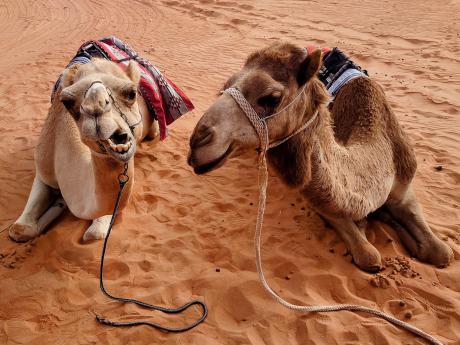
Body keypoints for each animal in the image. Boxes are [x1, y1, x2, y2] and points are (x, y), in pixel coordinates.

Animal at [8, 58, 160, 242]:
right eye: (67, 101)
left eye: (131, 93)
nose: (96, 106)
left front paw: (61, 204)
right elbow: (19, 229)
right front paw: (59, 203)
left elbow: (95, 233)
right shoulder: (44, 171)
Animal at [188, 41, 452, 272]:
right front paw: (373, 224)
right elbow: (369, 255)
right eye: (226, 85)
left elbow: (442, 252)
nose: (197, 142)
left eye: (271, 98)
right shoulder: (320, 200)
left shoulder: (404, 184)